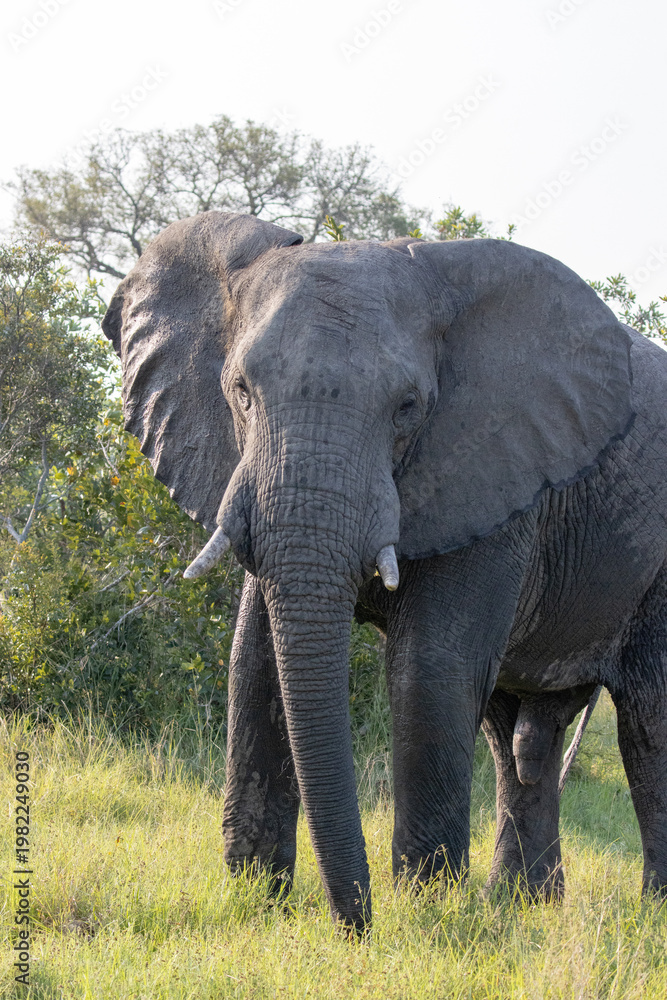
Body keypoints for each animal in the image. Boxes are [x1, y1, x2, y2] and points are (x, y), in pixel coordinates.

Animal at [102, 211, 667, 933]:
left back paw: (639, 914)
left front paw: (427, 914)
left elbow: (428, 670)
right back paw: (521, 906)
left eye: (407, 407)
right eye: (240, 394)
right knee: (518, 737)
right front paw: (257, 903)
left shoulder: (490, 470)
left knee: (647, 723)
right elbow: (255, 662)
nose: (355, 925)